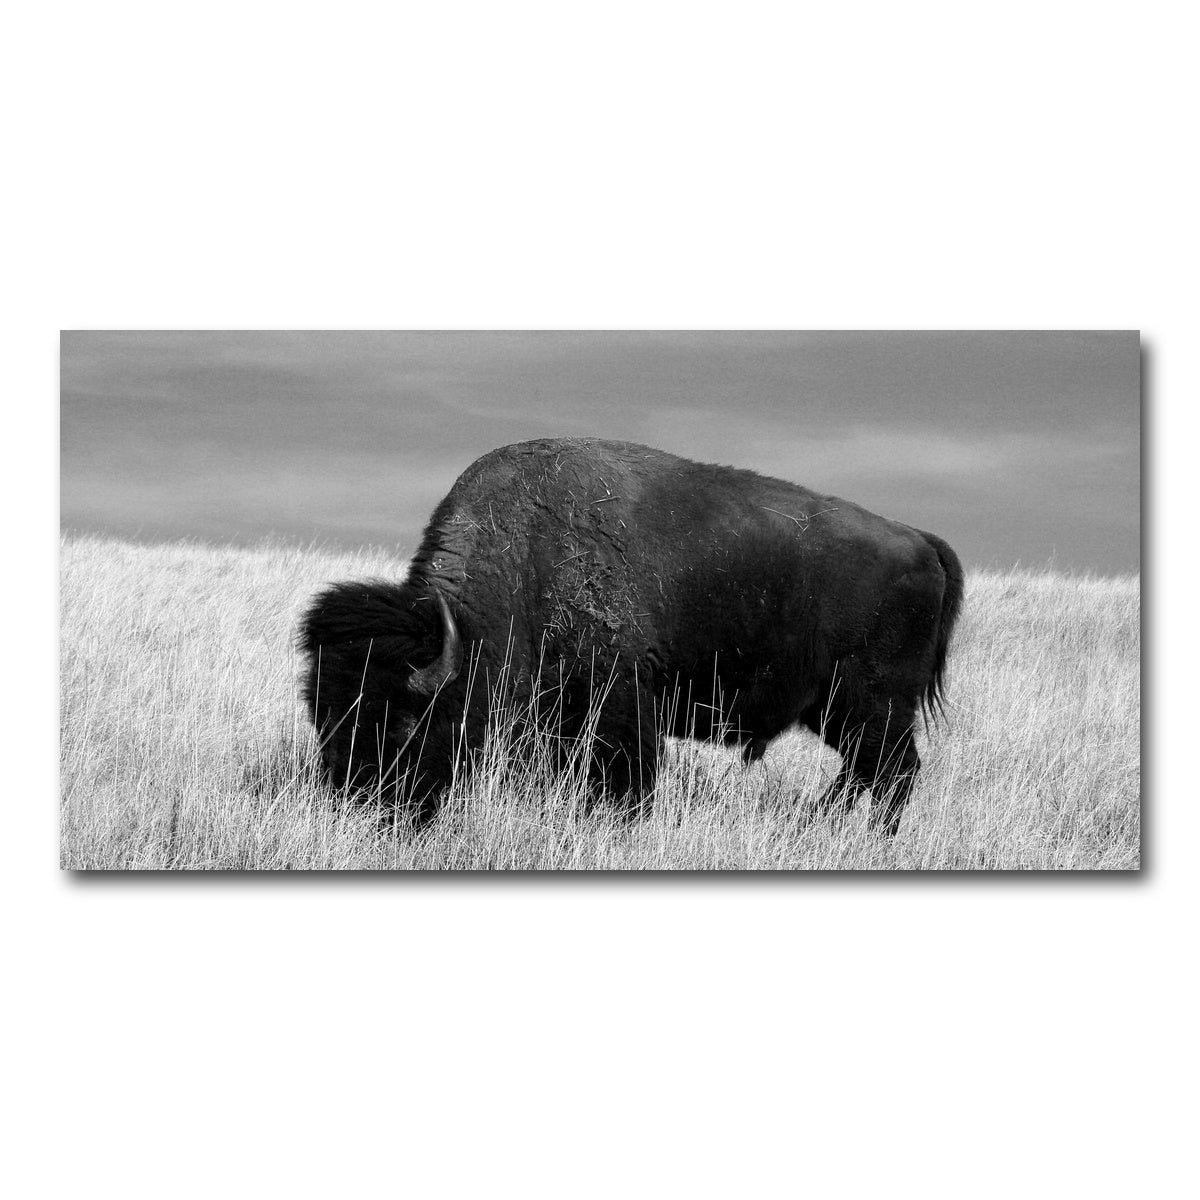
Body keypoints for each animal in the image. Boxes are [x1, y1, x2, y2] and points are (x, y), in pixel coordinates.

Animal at [298, 437, 963, 834]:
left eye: (404, 721)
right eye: (323, 716)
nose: (356, 804)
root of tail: (920, 540)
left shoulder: (621, 700)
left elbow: (627, 777)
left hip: (872, 703)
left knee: (892, 771)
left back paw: (861, 834)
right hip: (835, 709)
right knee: (867, 770)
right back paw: (821, 823)